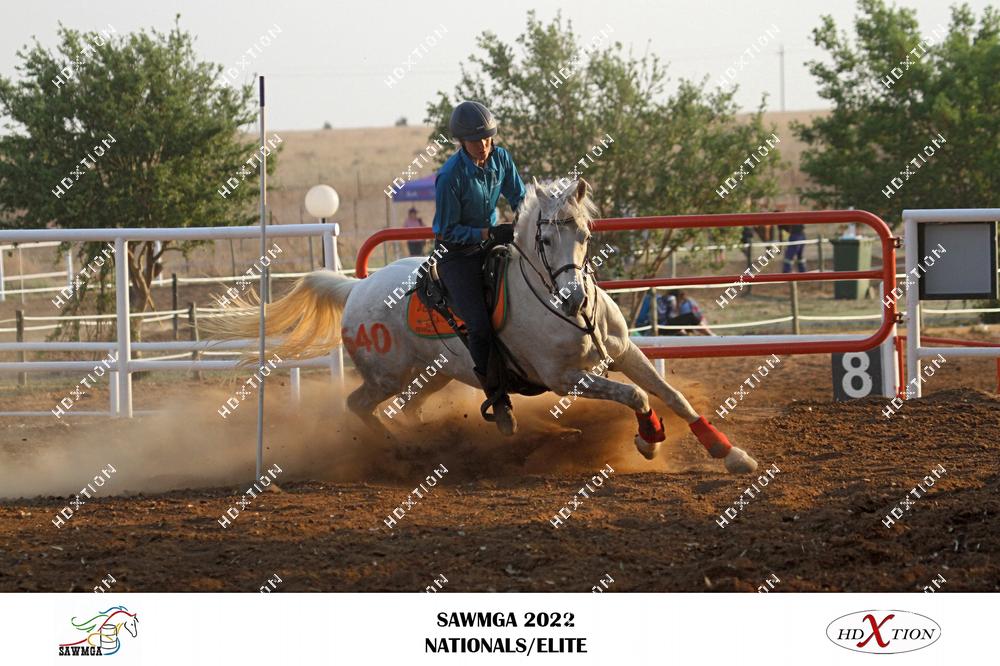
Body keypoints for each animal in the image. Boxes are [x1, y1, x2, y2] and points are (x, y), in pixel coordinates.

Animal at [214, 178, 758, 474]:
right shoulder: (564, 379)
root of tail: (354, 290)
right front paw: (647, 439)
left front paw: (730, 454)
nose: (574, 296)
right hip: (387, 377)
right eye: (543, 238)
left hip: (432, 377)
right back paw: (407, 450)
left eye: (585, 233)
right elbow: (638, 396)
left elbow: (672, 395)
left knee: (407, 409)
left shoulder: (623, 352)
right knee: (359, 407)